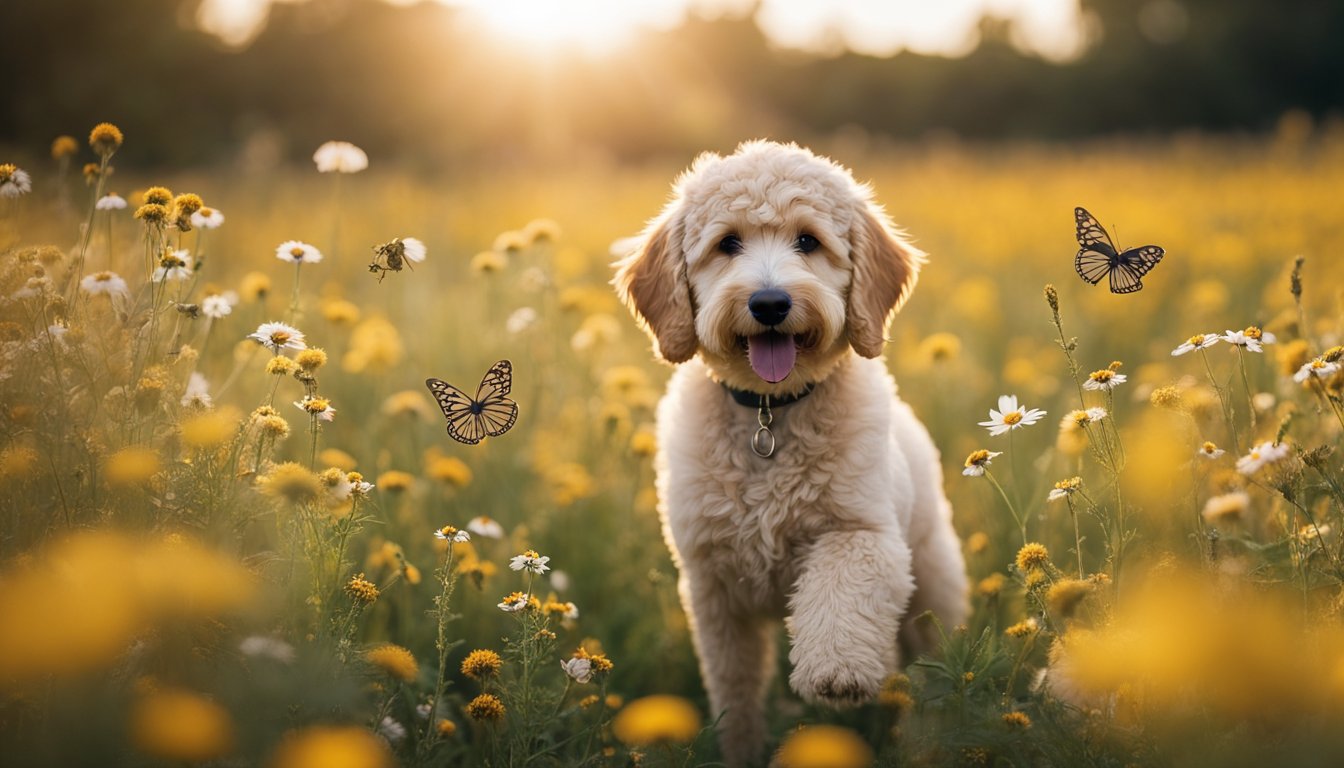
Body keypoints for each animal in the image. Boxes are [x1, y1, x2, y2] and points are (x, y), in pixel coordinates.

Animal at [615, 142, 973, 763]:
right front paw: (739, 747)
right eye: (727, 243)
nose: (769, 303)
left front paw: (836, 673)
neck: (771, 414)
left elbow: (840, 595)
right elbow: (734, 687)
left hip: (932, 582)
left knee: (932, 662)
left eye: (808, 240)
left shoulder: (863, 535)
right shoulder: (712, 586)